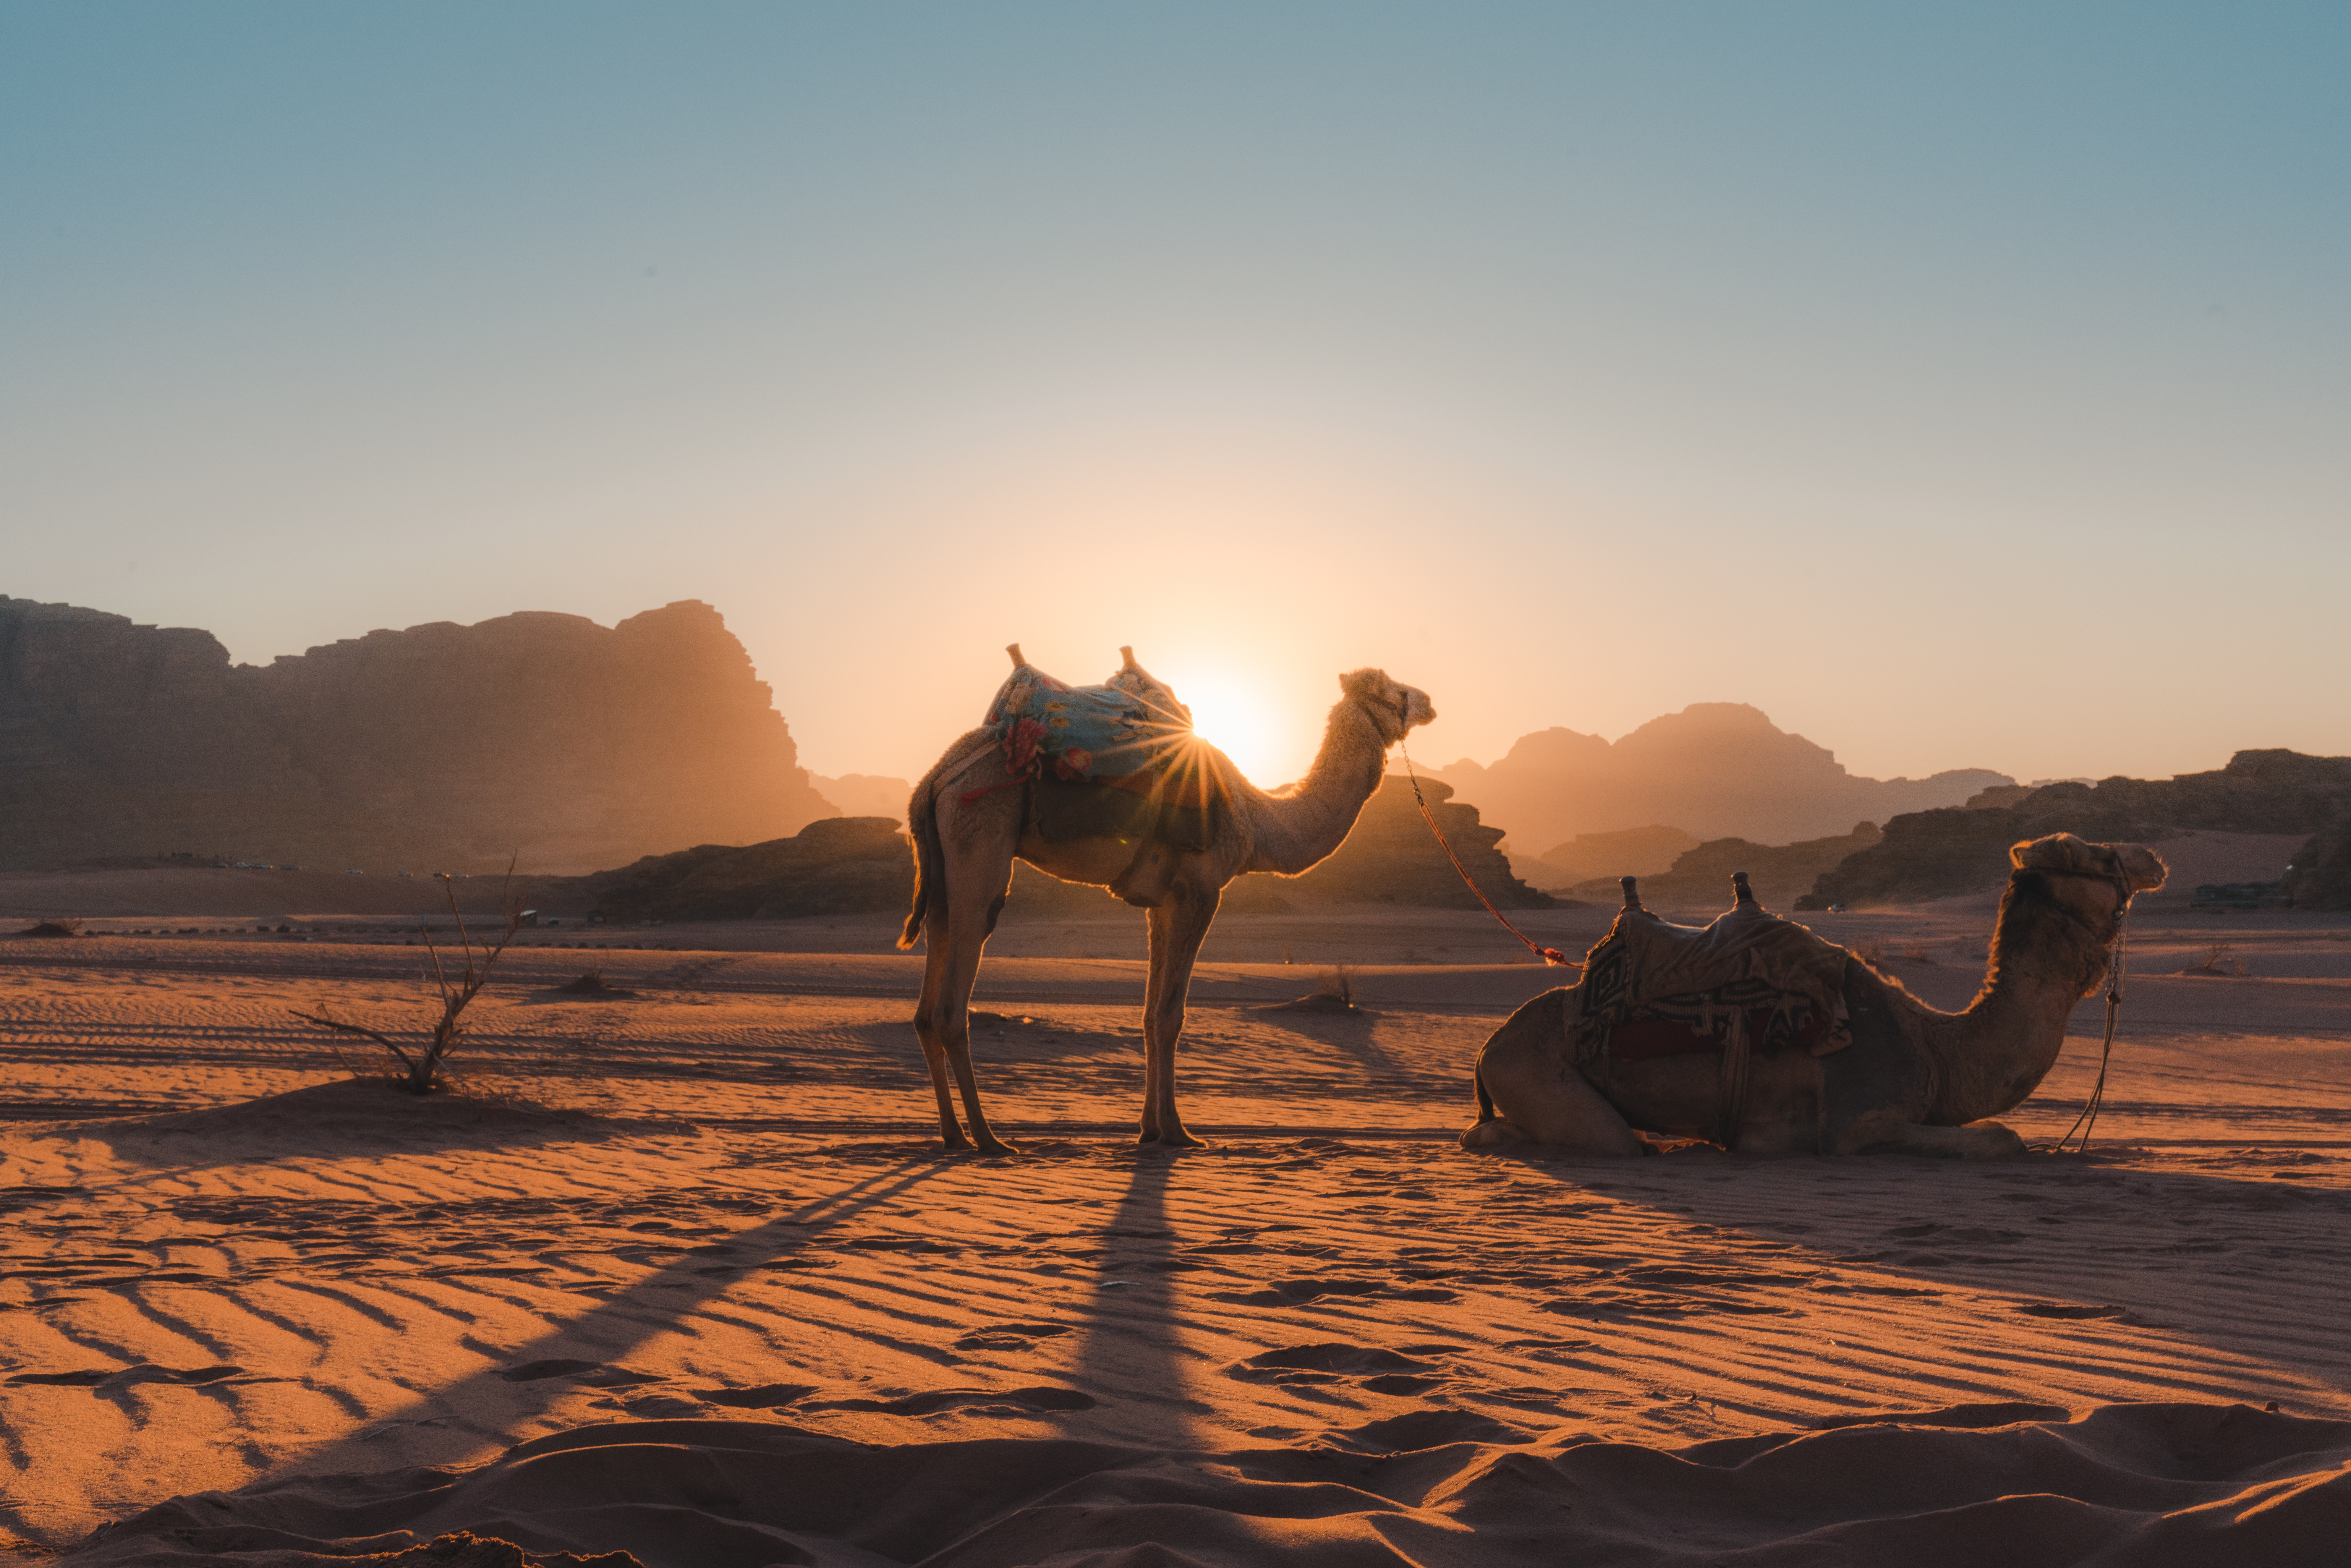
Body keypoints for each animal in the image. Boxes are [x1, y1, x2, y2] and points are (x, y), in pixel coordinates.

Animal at [903, 649, 1435, 1153]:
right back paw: (989, 1139)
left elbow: (1148, 1014)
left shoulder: (1160, 904)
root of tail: (935, 779)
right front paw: (1179, 1132)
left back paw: (953, 1134)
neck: (1261, 822)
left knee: (927, 1001)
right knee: (955, 995)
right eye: (1394, 690)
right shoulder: (1200, 891)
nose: (1429, 702)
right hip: (982, 836)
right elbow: (1170, 1015)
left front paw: (1150, 1129)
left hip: (942, 871)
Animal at [1461, 833, 2167, 1158]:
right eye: (2092, 854)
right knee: (1596, 1139)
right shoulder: (1854, 1121)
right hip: (1539, 1075)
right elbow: (2003, 1137)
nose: (2152, 857)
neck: (1936, 1048)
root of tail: (1488, 1047)